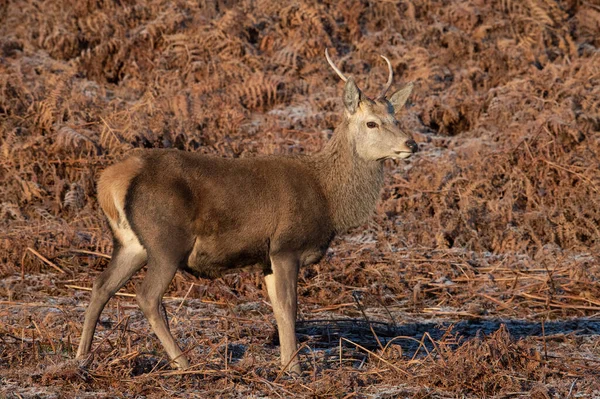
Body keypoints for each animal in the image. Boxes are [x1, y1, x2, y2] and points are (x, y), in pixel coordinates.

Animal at [76, 49, 418, 376]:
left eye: (396, 117)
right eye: (371, 122)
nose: (411, 143)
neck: (328, 199)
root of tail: (112, 180)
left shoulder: (266, 258)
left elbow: (277, 309)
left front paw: (285, 364)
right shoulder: (286, 246)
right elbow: (289, 307)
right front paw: (294, 369)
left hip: (131, 243)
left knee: (101, 286)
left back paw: (82, 358)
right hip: (165, 240)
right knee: (147, 296)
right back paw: (184, 363)